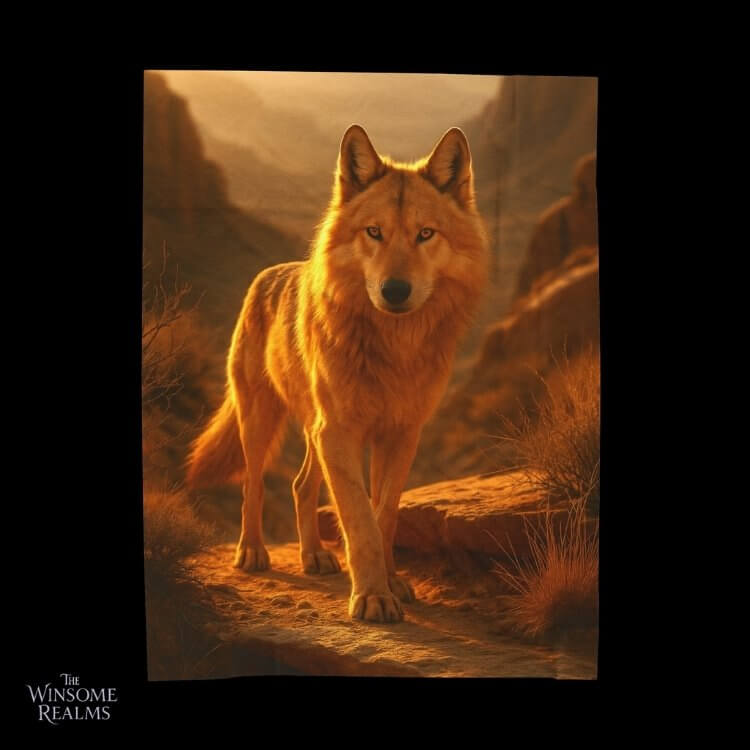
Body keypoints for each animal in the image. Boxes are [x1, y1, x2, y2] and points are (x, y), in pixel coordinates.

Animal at [186, 125, 488, 623]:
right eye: (374, 232)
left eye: (425, 234)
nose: (395, 290)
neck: (393, 348)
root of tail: (268, 273)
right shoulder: (342, 432)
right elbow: (360, 521)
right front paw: (371, 597)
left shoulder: (400, 435)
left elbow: (384, 515)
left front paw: (390, 583)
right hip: (262, 420)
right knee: (253, 483)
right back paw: (251, 553)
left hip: (314, 430)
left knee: (300, 484)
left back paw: (314, 556)